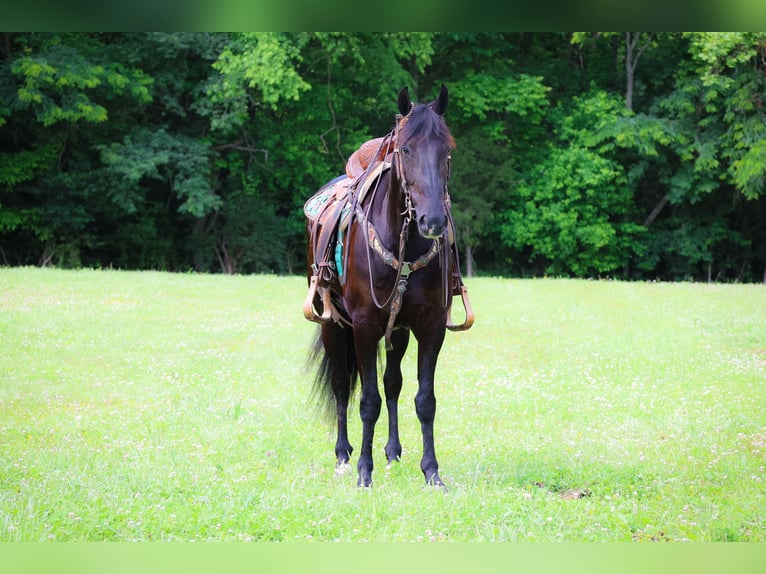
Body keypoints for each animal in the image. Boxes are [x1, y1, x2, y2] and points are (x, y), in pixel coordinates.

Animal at [306, 85, 474, 488]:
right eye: (406, 150)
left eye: (447, 151)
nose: (432, 221)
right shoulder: (364, 325)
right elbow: (367, 401)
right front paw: (363, 473)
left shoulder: (429, 326)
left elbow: (424, 400)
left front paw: (432, 472)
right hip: (335, 326)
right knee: (341, 386)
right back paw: (343, 456)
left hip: (397, 331)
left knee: (393, 382)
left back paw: (393, 452)